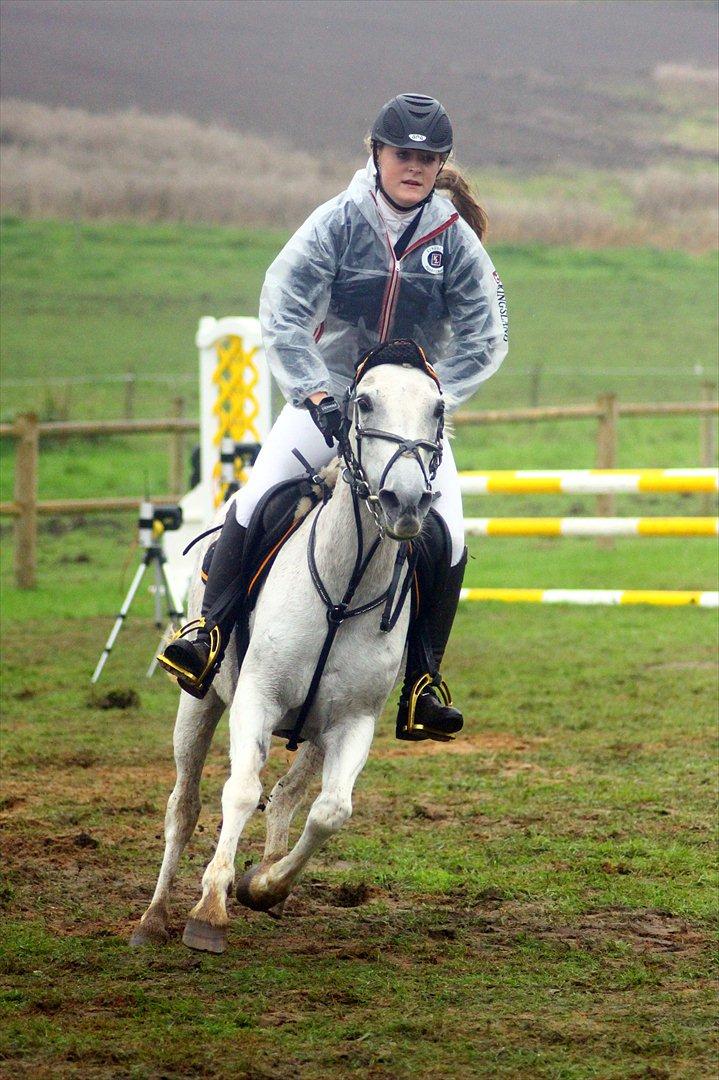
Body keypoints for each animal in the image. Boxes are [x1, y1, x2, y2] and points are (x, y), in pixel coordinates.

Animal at [129, 356, 442, 954]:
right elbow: (240, 791)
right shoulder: (257, 699)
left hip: (316, 733)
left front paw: (263, 885)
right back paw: (153, 917)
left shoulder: (353, 722)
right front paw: (210, 909)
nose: (407, 501)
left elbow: (330, 811)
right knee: (185, 805)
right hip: (199, 705)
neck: (345, 589)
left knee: (288, 796)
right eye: (363, 401)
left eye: (438, 409)